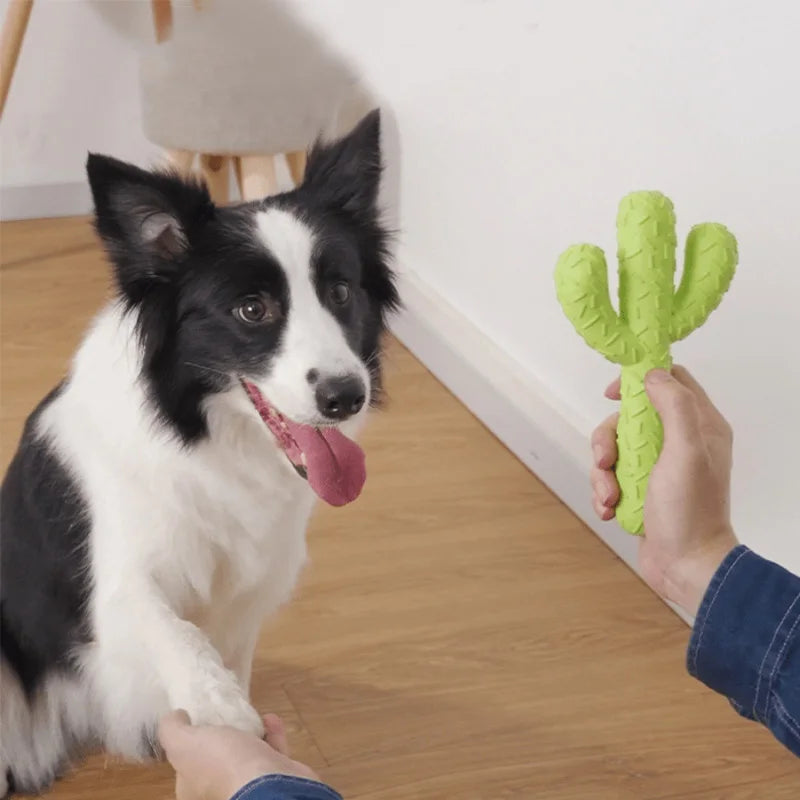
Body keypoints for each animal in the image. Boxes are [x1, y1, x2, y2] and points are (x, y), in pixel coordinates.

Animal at [0, 111, 398, 792]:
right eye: (252, 309)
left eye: (341, 292)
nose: (347, 396)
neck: (209, 440)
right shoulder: (116, 581)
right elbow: (172, 627)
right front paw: (223, 718)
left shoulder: (249, 589)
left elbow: (230, 653)